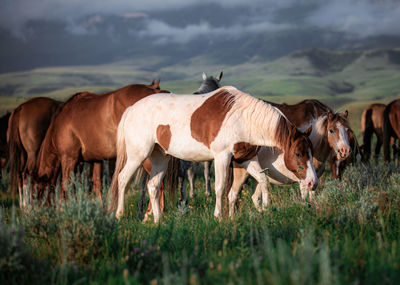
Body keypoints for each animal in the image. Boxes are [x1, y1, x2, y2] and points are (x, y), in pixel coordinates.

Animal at [34, 80, 172, 200]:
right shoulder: (95, 160)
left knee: (158, 185)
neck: (60, 124)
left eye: (39, 190)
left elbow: (66, 187)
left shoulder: (69, 158)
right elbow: (96, 187)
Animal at [108, 86, 318, 222]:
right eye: (298, 153)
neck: (242, 118)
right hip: (138, 155)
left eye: (311, 151)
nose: (312, 183)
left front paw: (264, 208)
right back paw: (119, 215)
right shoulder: (222, 157)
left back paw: (159, 220)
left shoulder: (246, 159)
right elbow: (220, 187)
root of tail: (131, 109)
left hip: (160, 157)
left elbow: (263, 180)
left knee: (152, 185)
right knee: (123, 179)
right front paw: (218, 216)